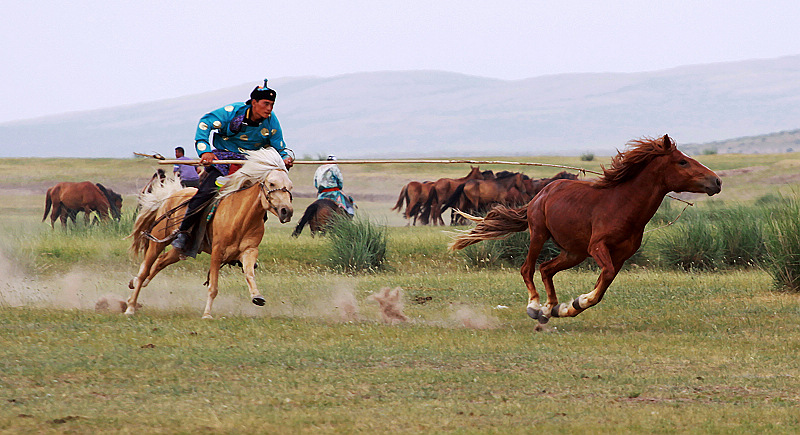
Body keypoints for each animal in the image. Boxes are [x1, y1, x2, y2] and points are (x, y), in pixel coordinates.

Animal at [127, 148, 294, 318]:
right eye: (271, 183)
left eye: (290, 186)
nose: (286, 211)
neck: (241, 218)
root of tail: (170, 196)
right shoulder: (217, 251)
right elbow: (213, 286)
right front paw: (207, 314)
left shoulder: (249, 251)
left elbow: (249, 274)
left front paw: (257, 296)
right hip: (158, 240)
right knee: (145, 269)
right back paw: (131, 306)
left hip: (181, 249)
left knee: (160, 261)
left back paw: (135, 286)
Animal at [450, 136, 724, 328]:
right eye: (682, 161)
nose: (717, 181)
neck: (623, 204)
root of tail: (542, 193)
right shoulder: (598, 247)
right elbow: (604, 278)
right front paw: (577, 302)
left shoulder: (621, 255)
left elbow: (605, 282)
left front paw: (569, 307)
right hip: (540, 234)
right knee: (528, 268)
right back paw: (535, 306)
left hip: (574, 253)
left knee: (546, 269)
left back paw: (550, 309)